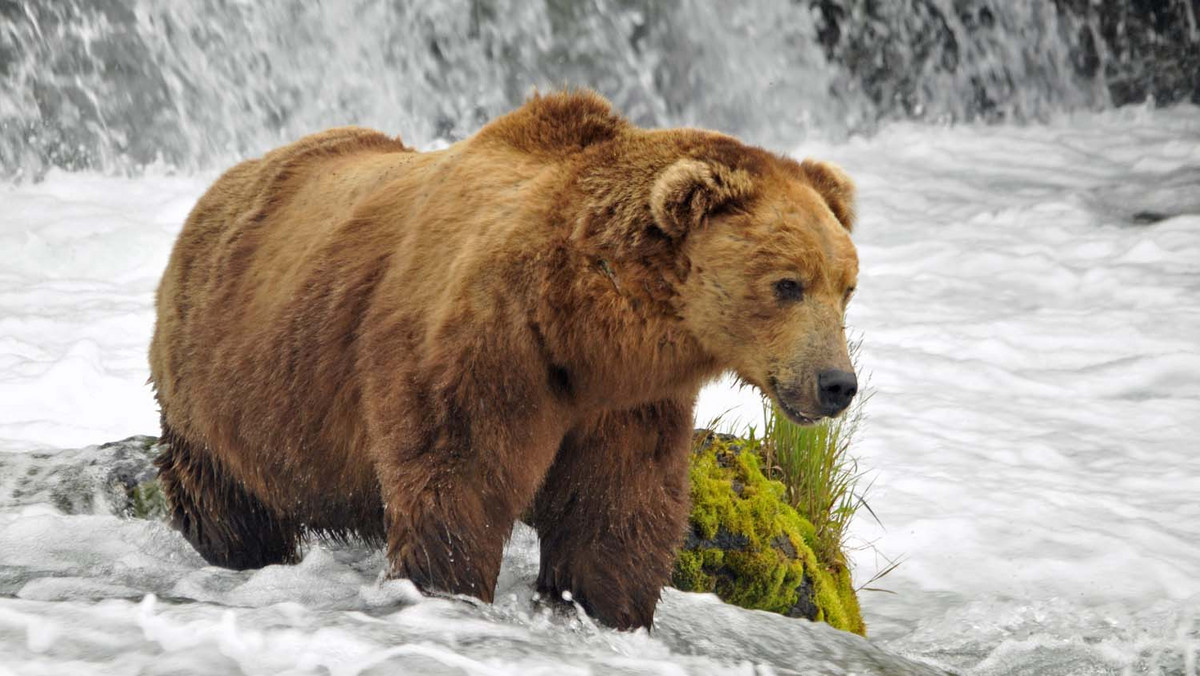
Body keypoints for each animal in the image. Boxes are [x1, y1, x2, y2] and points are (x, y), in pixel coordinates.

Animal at [150, 90, 859, 629]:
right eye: (787, 284)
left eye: (846, 285)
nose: (837, 383)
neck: (585, 327)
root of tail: (219, 187)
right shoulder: (486, 346)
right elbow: (460, 483)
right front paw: (450, 585)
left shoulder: (627, 402)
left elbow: (619, 511)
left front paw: (606, 609)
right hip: (223, 384)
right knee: (228, 500)